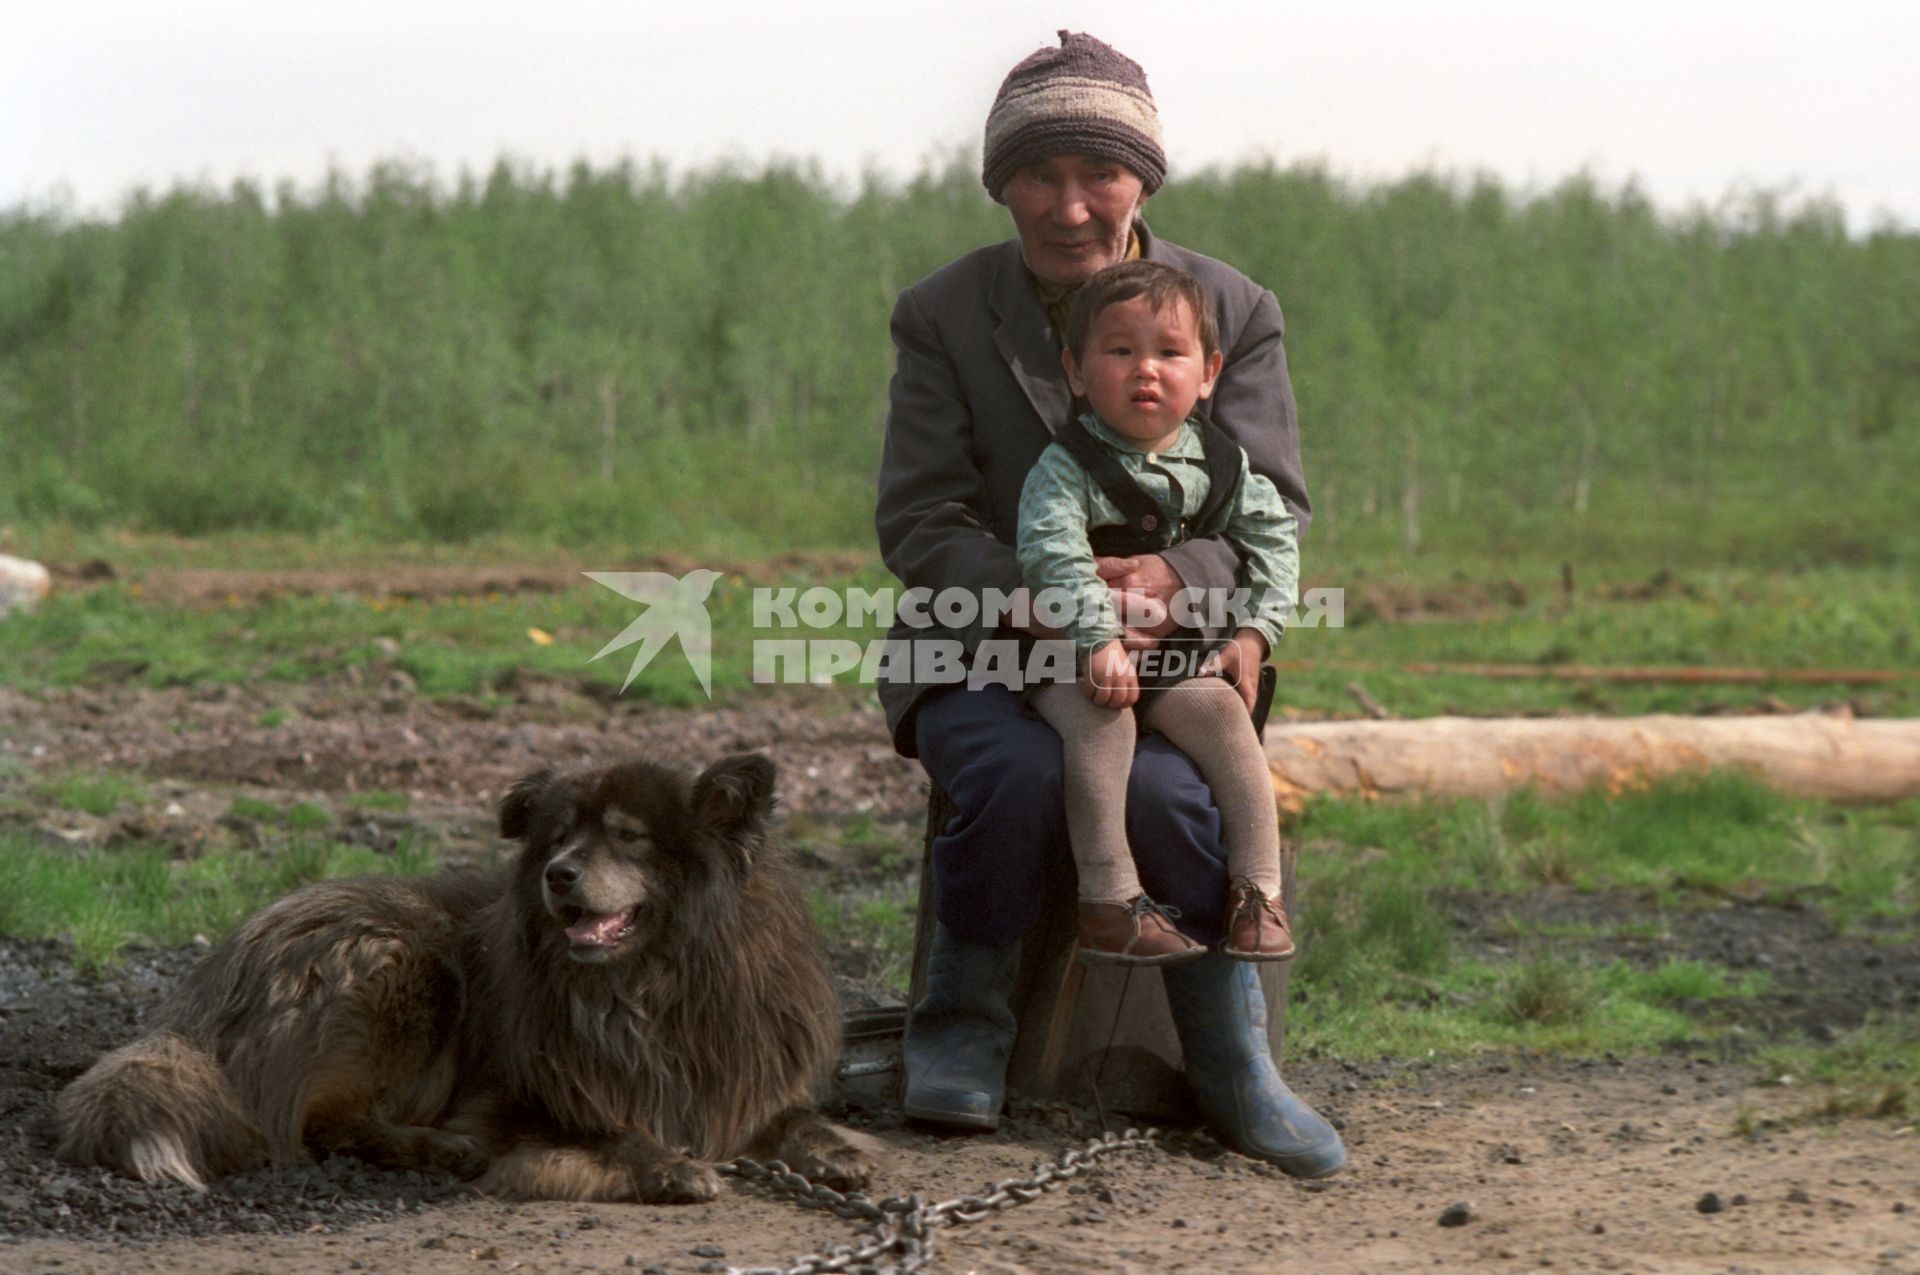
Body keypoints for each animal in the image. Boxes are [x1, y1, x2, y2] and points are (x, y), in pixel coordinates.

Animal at [56, 752, 875, 1198]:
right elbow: (608, 1129)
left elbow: (793, 1119)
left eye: (629, 837)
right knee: (325, 1119)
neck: (646, 987)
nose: (557, 873)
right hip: (406, 968)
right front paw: (668, 1165)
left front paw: (835, 1152)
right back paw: (437, 1149)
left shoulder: (740, 1079)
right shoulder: (519, 1096)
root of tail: (207, 991)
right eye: (559, 835)